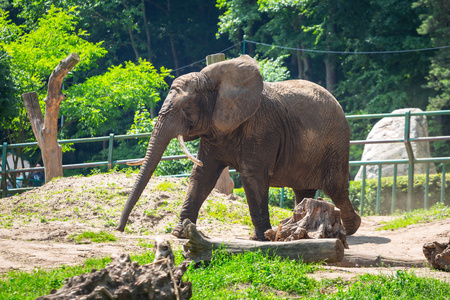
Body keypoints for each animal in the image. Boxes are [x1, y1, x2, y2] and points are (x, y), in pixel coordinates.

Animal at [117, 55, 362, 240]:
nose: (119, 230)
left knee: (336, 187)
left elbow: (252, 176)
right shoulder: (215, 129)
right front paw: (179, 232)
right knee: (303, 189)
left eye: (186, 107)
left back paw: (351, 228)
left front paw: (261, 237)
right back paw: (297, 225)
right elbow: (202, 175)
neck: (214, 79)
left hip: (336, 142)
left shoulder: (261, 127)